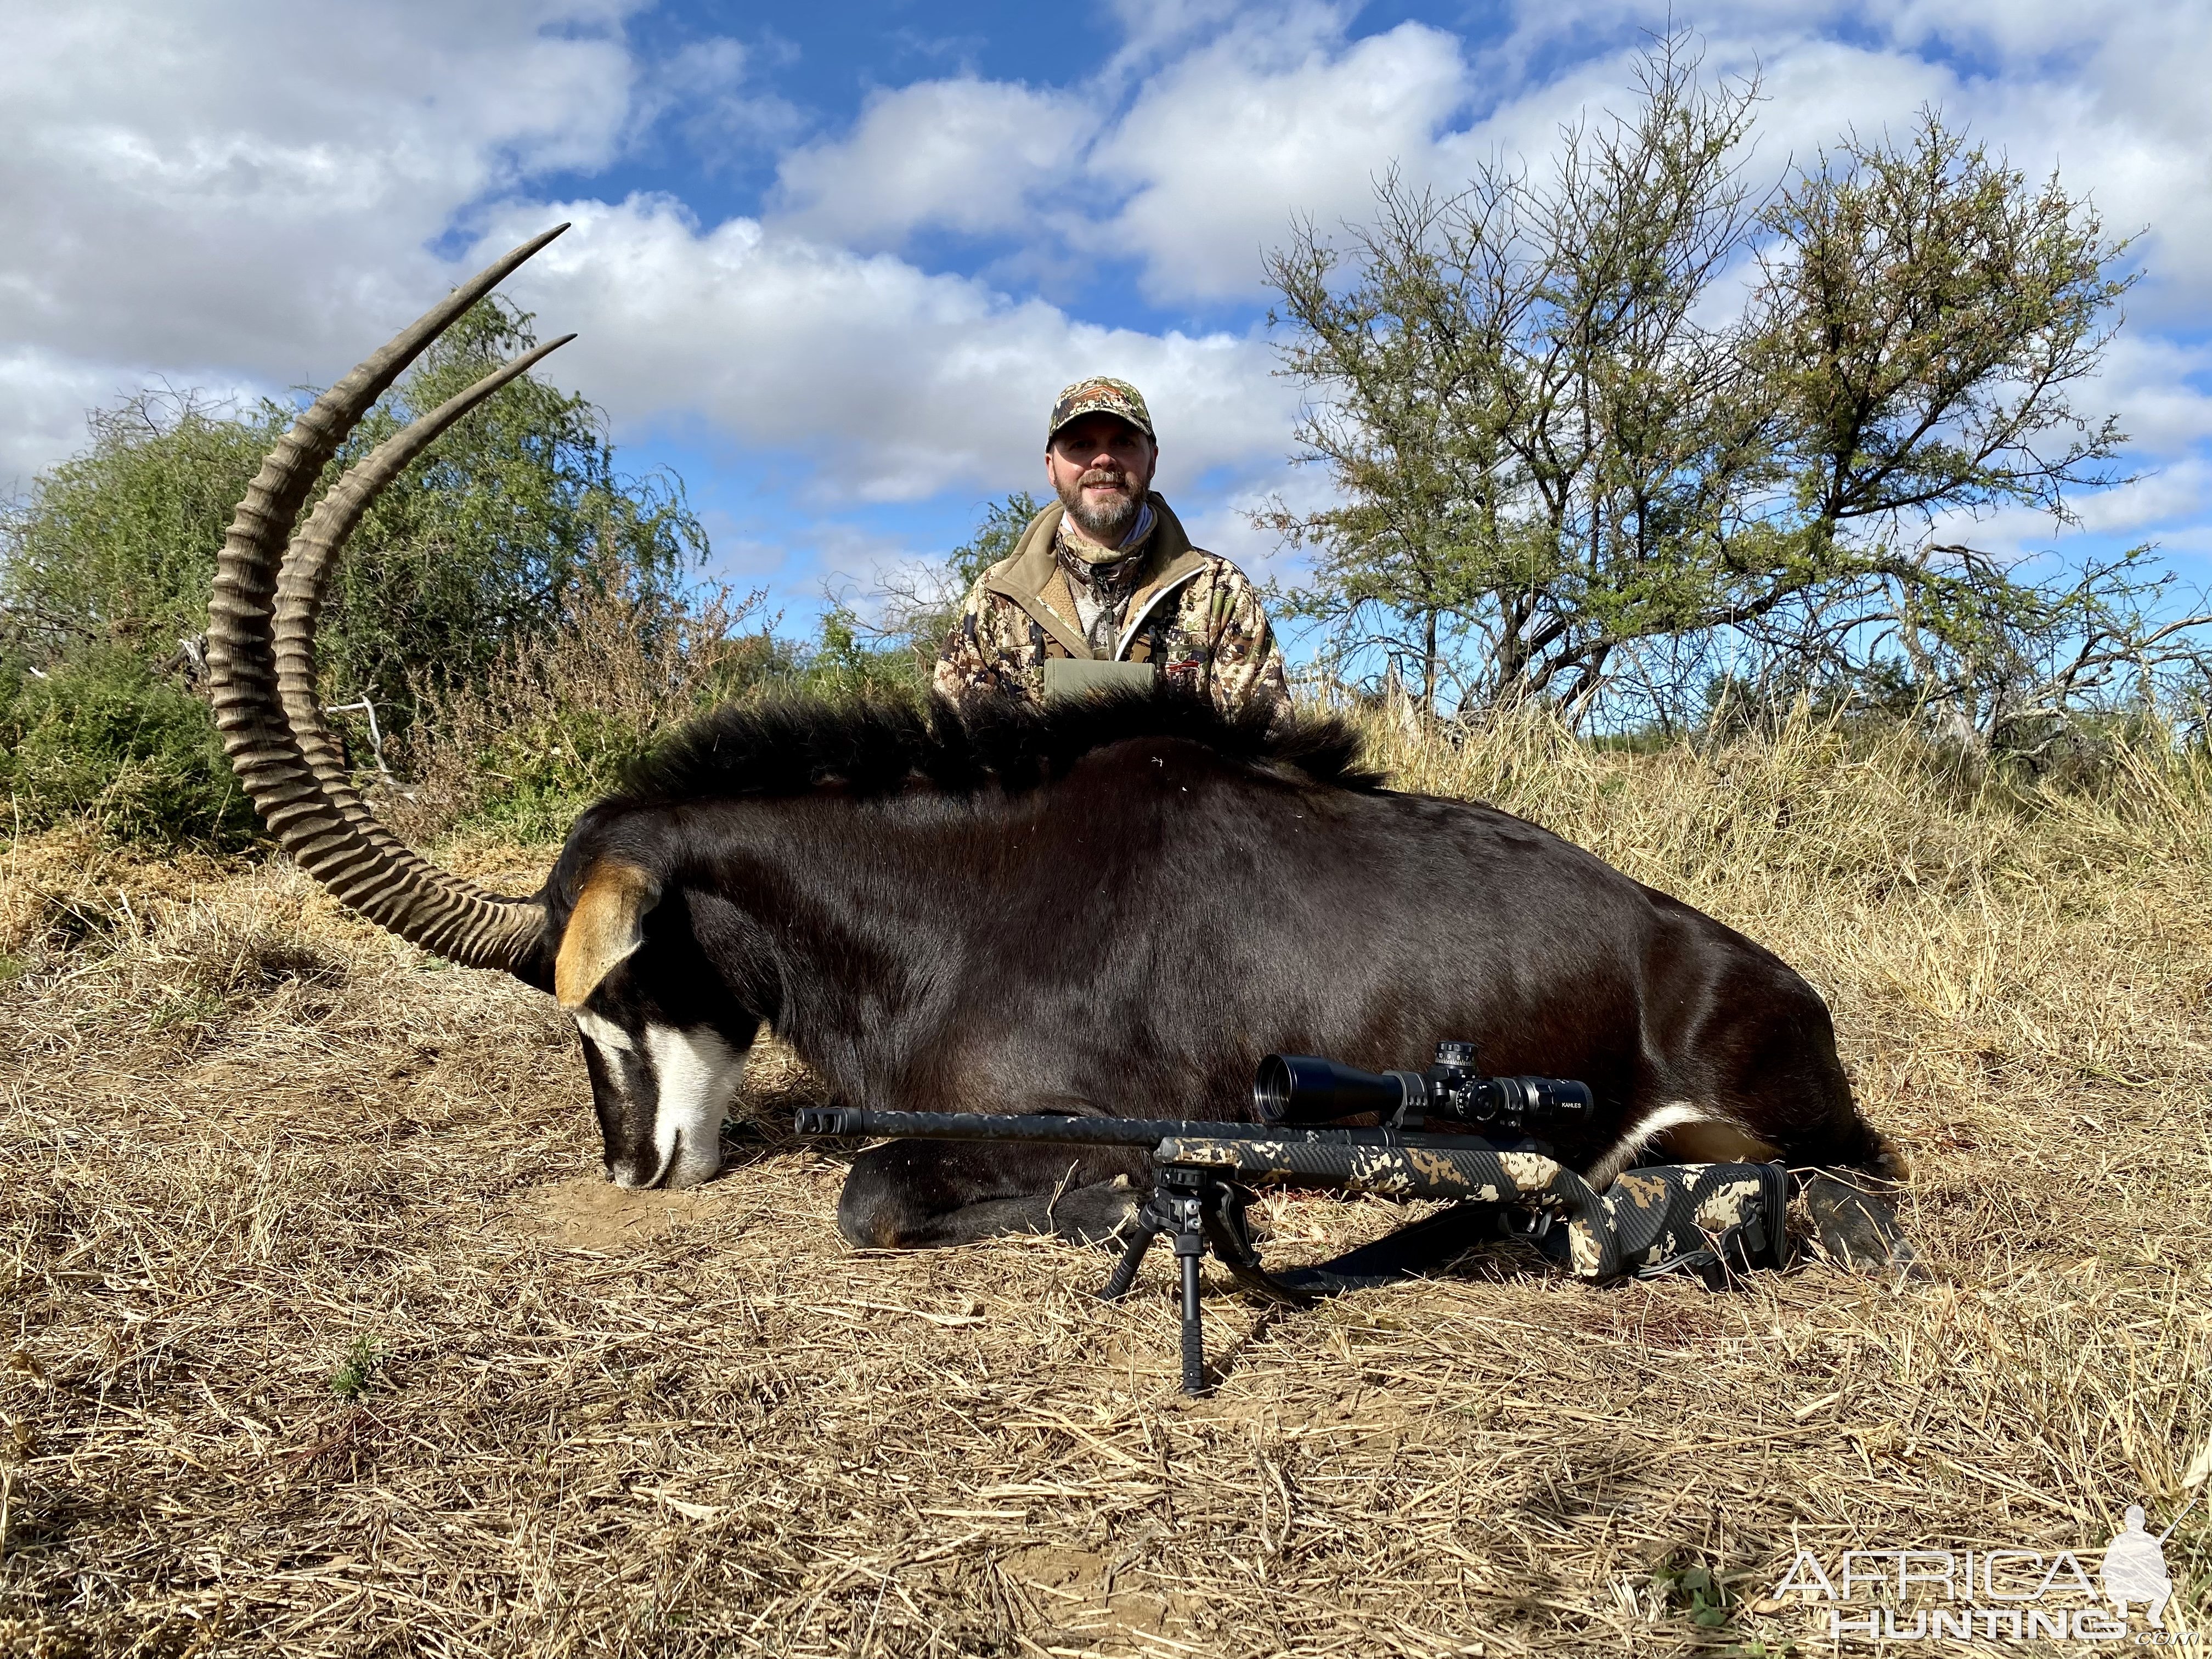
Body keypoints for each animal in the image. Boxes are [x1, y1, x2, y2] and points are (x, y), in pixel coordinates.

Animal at [211, 231, 1920, 1274]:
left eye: (611, 982)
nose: (637, 1167)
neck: (943, 905)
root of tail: (1766, 974)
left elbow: (873, 1190)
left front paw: (1125, 1210)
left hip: (1788, 1134)